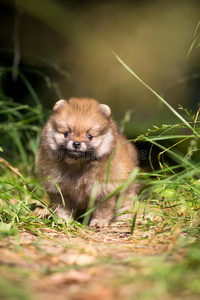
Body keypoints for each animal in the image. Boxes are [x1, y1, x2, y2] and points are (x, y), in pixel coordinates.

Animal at [36, 98, 138, 227]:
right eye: (67, 133)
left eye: (89, 136)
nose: (76, 143)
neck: (77, 165)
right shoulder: (59, 189)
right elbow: (62, 207)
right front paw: (63, 221)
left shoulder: (103, 190)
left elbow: (102, 209)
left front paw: (99, 223)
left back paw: (124, 218)